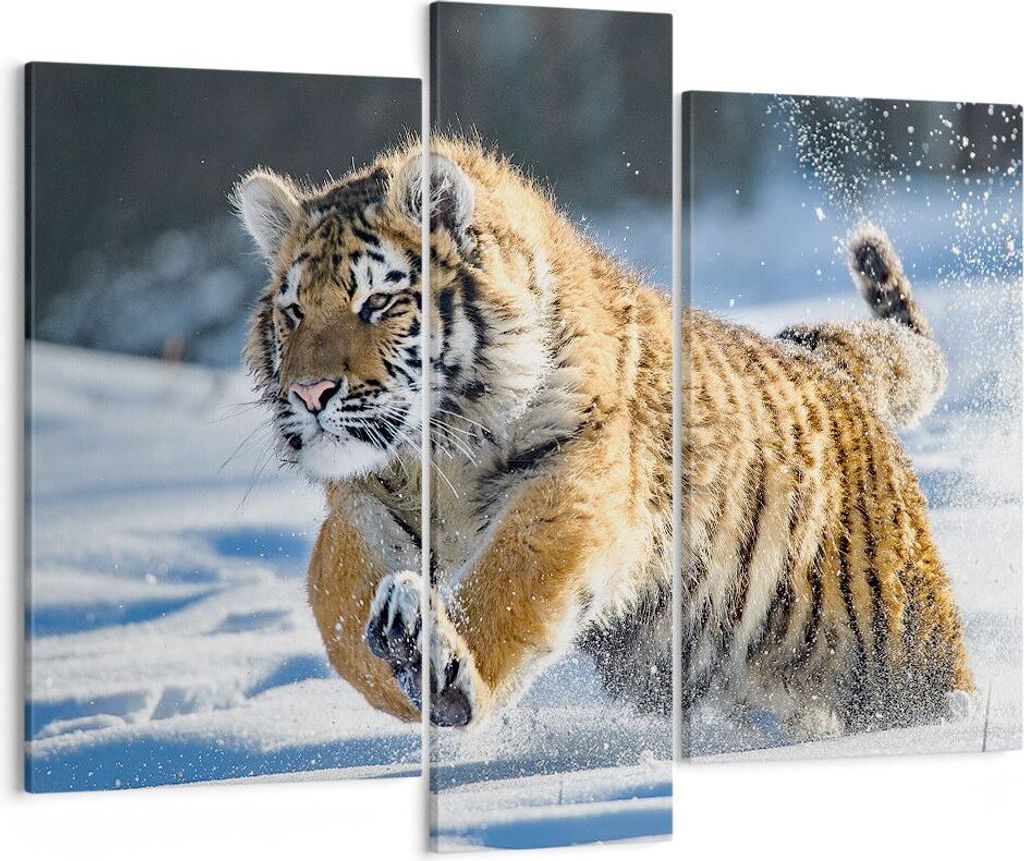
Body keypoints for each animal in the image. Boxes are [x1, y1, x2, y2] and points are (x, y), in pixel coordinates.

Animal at [233, 136, 674, 728]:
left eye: (377, 303)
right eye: (295, 312)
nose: (309, 392)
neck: (438, 454)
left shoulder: (572, 470)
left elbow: (513, 581)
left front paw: (443, 673)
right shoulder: (357, 512)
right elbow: (342, 621)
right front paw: (403, 661)